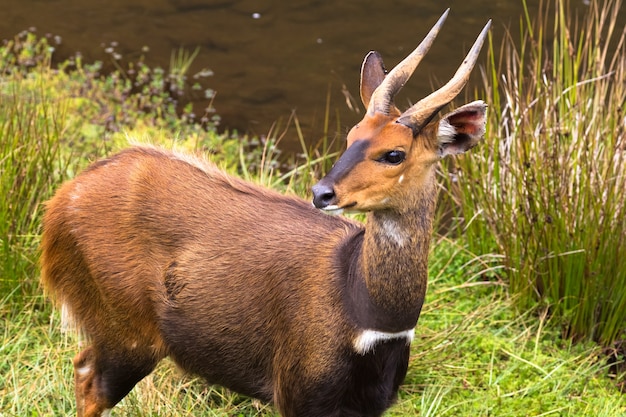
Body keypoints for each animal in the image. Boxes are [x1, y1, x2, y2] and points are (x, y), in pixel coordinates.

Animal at [40, 9, 488, 416]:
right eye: (351, 136)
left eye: (394, 154)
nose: (322, 193)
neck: (368, 318)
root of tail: (61, 201)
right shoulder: (296, 392)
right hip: (128, 335)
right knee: (89, 379)